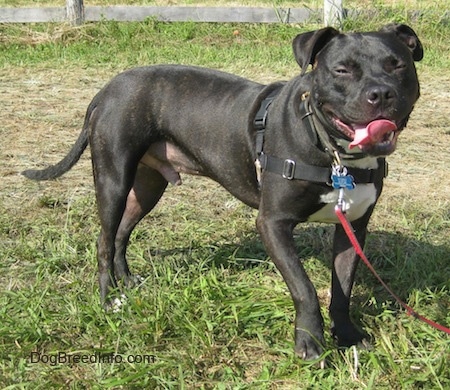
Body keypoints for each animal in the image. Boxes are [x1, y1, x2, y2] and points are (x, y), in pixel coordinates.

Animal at [22, 23, 424, 360]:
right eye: (342, 70)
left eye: (398, 65)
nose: (381, 93)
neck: (333, 151)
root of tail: (106, 89)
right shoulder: (273, 224)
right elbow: (305, 288)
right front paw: (310, 343)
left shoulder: (353, 228)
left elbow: (342, 289)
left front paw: (348, 336)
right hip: (113, 179)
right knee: (105, 240)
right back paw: (108, 301)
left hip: (148, 186)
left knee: (122, 233)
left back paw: (129, 283)